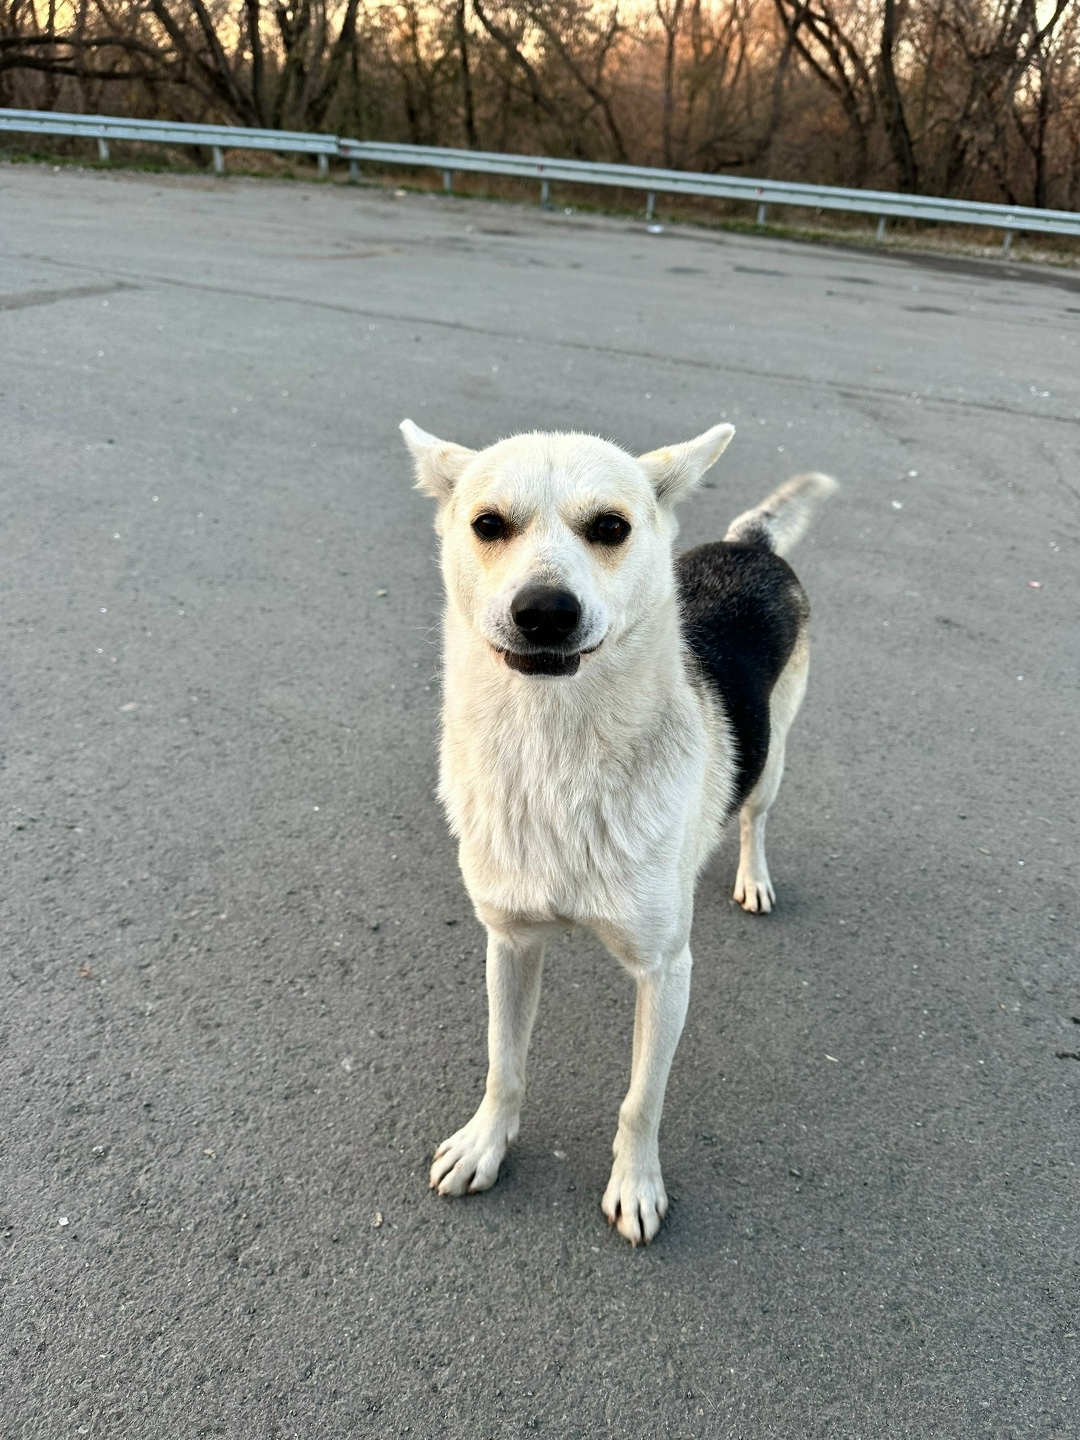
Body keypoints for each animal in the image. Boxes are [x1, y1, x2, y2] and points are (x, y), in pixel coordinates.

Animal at [401, 418, 836, 1244]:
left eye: (610, 527)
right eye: (487, 525)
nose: (545, 612)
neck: (556, 758)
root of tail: (750, 546)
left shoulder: (666, 974)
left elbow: (642, 1100)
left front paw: (636, 1186)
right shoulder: (509, 943)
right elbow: (504, 1064)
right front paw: (484, 1145)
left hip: (775, 758)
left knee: (755, 816)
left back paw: (752, 876)